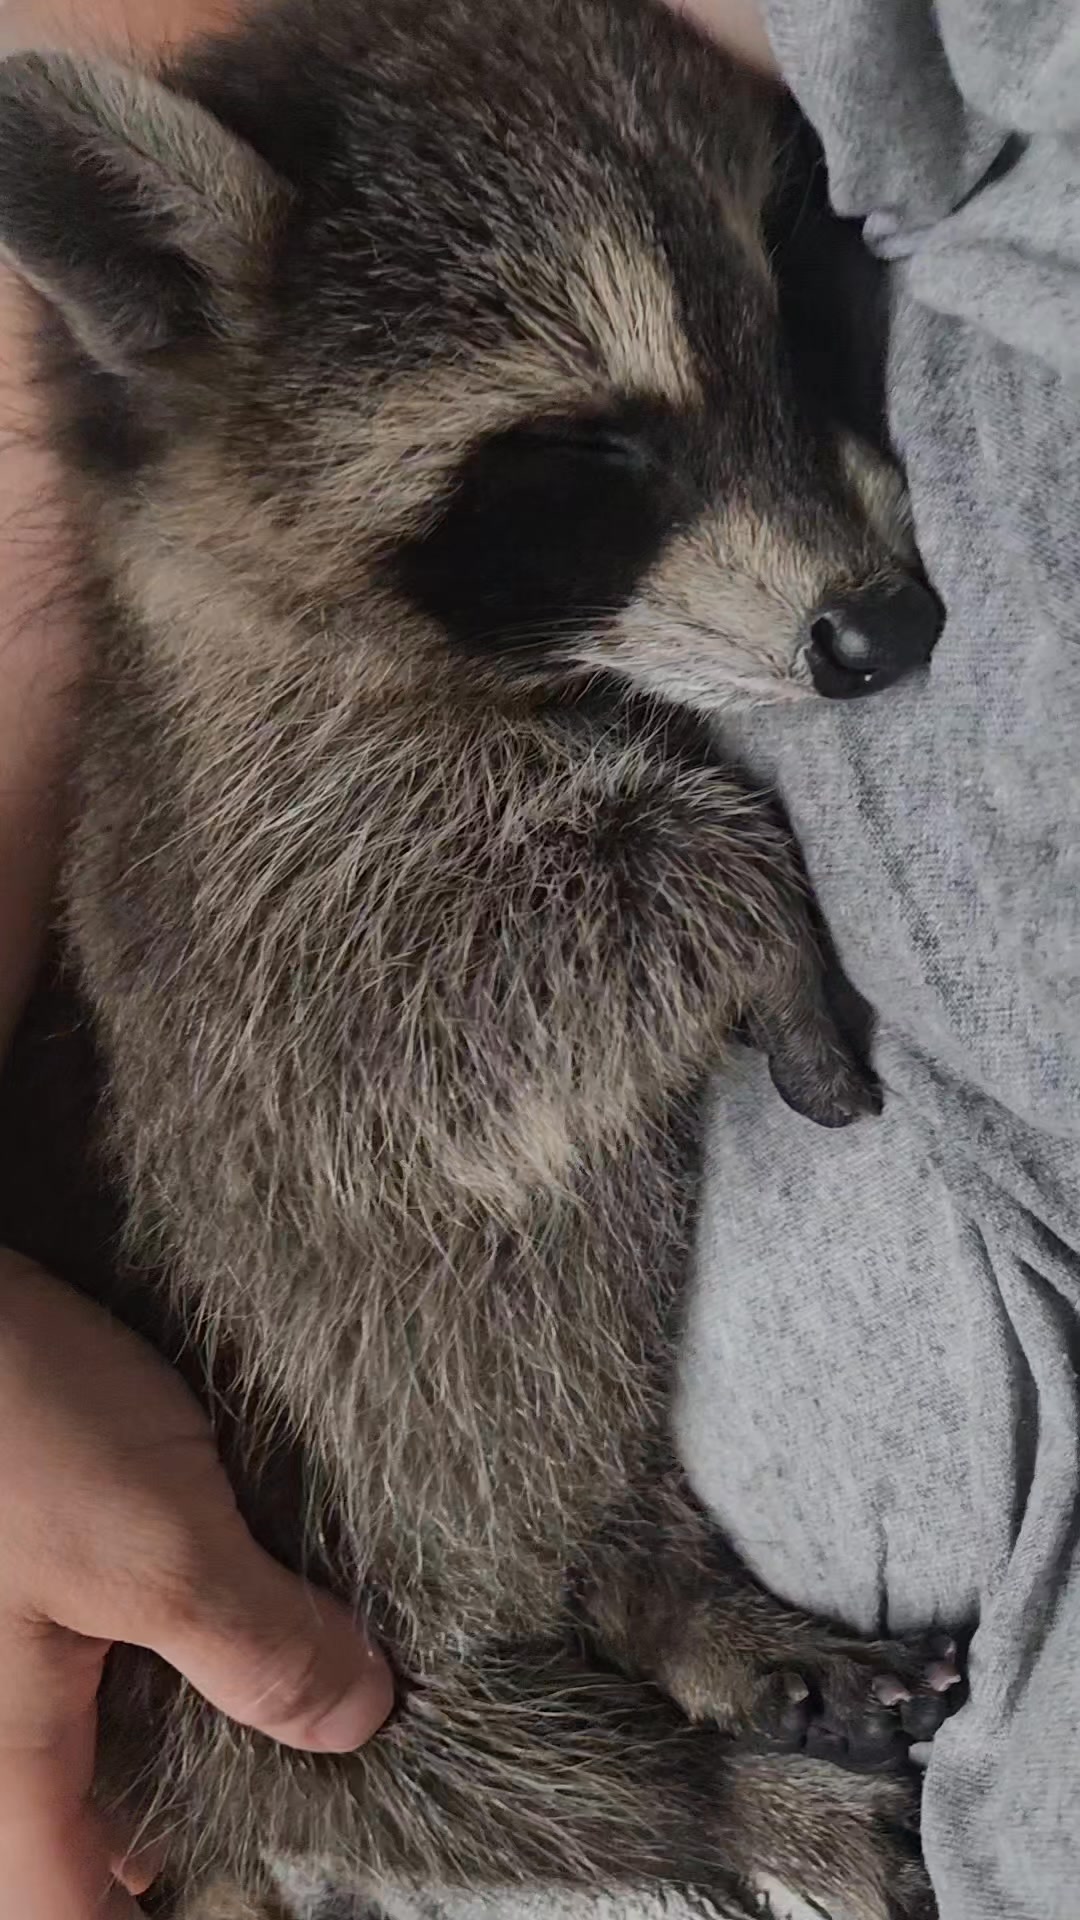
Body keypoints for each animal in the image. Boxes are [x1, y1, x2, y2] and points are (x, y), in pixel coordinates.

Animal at [0, 1, 953, 1917]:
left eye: (799, 298)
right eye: (587, 460)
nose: (886, 628)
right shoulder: (237, 895)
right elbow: (405, 1038)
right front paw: (739, 892)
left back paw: (682, 1609)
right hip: (254, 1640)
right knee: (443, 1770)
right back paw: (706, 1796)